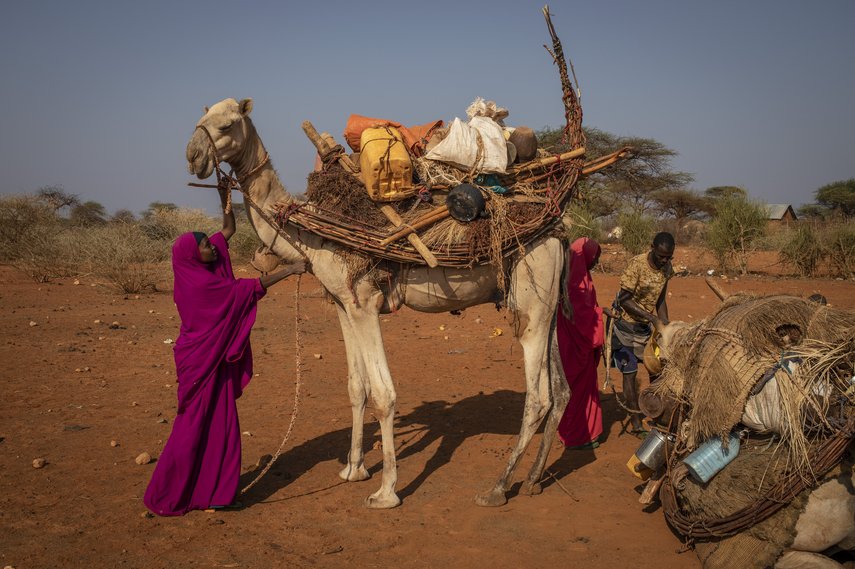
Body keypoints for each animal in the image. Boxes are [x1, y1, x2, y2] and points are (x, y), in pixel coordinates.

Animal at [187, 96, 576, 506]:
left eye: (228, 124)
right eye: (201, 119)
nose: (193, 156)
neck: (311, 231)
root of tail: (559, 233)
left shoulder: (364, 301)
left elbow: (383, 394)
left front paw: (386, 490)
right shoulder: (344, 303)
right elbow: (356, 388)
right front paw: (353, 469)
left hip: (531, 294)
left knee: (539, 397)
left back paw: (497, 487)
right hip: (547, 302)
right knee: (562, 390)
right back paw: (533, 479)